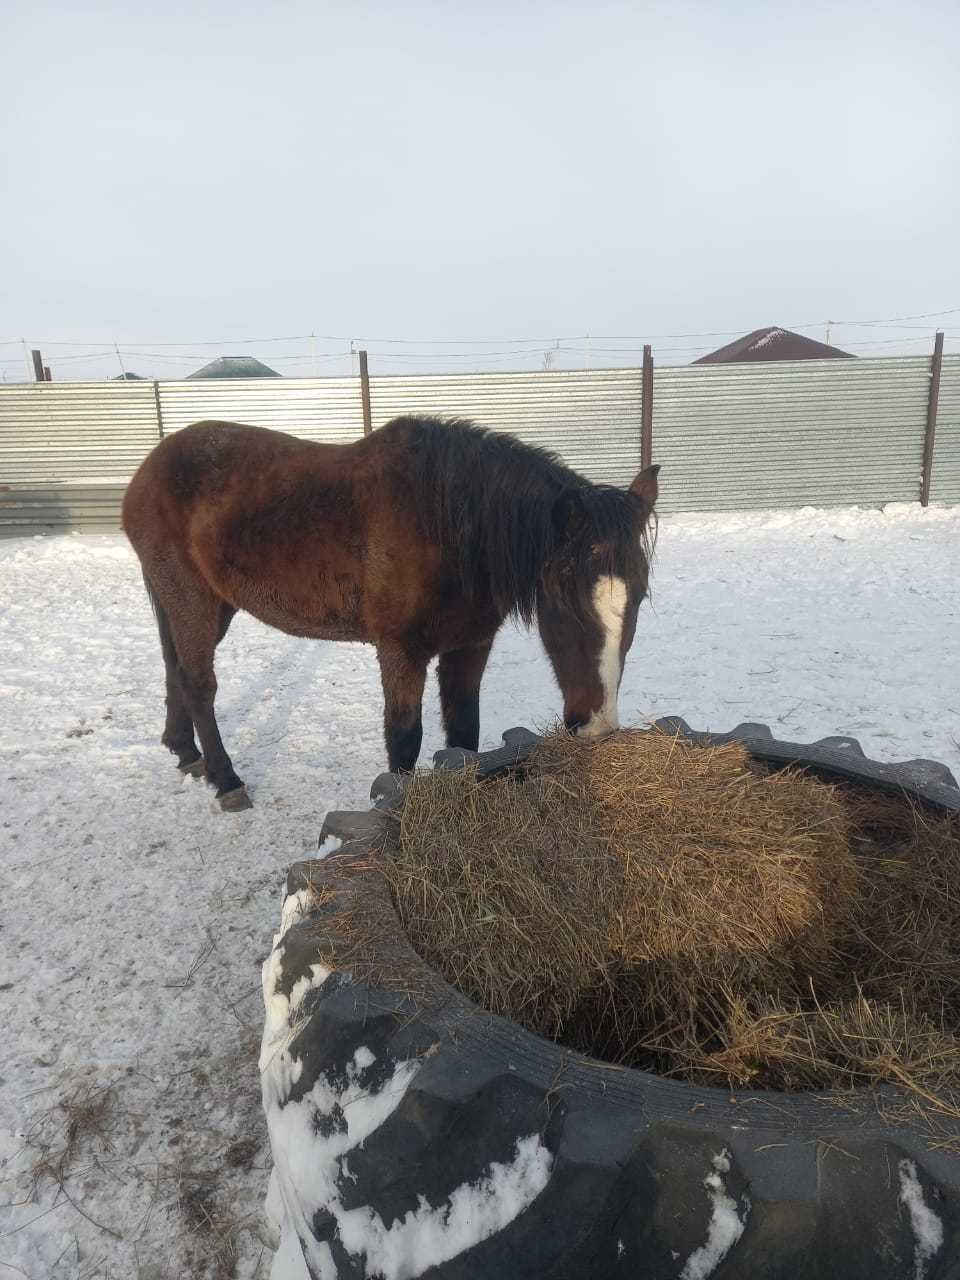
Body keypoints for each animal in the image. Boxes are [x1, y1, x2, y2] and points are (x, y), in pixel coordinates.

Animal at [122, 417, 660, 808]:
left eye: (637, 599)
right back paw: (225, 778)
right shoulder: (401, 651)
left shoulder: (470, 645)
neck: (447, 528)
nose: (597, 725)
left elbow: (463, 733)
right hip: (192, 598)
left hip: (206, 605)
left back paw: (184, 750)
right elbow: (405, 738)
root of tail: (147, 470)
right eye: (565, 602)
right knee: (199, 683)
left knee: (175, 668)